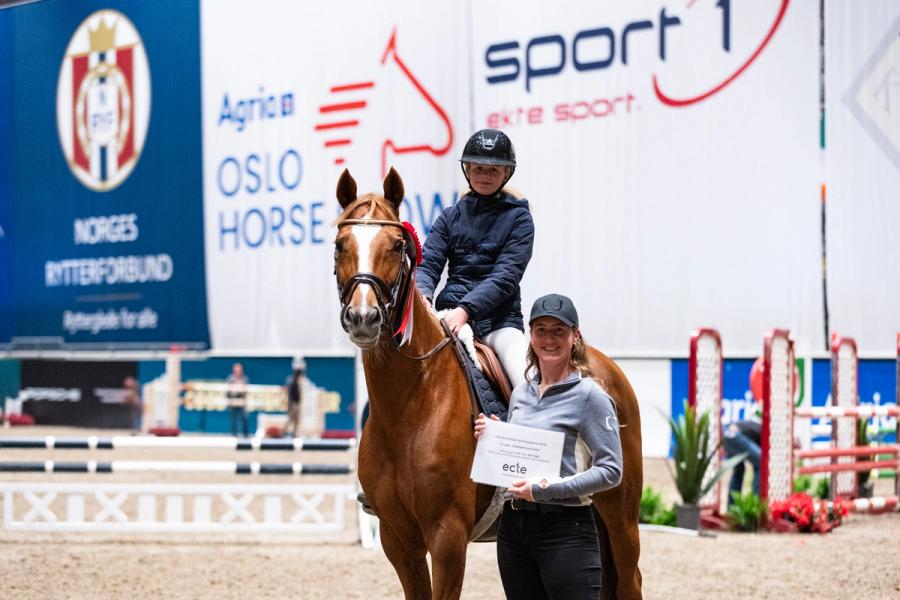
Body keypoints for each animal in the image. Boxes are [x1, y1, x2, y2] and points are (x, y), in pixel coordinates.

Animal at [334, 166, 644, 596]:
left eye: (397, 246)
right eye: (339, 245)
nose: (363, 318)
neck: (410, 405)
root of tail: (606, 367)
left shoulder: (447, 535)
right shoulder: (398, 540)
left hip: (620, 514)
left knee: (631, 579)